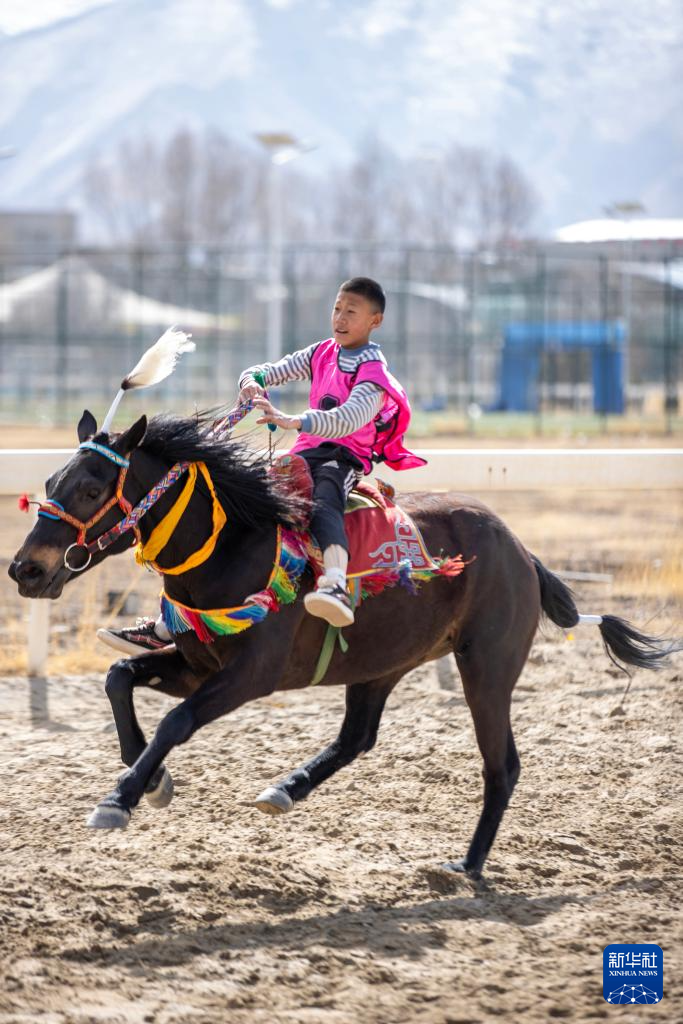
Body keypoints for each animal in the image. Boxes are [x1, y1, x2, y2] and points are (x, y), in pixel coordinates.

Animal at [9, 411, 671, 876]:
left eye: (91, 490)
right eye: (50, 480)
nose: (26, 569)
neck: (234, 545)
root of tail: (523, 553)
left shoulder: (251, 676)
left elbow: (176, 721)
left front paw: (121, 797)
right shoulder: (197, 662)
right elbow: (118, 678)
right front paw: (150, 778)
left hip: (487, 667)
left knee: (501, 764)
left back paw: (467, 864)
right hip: (382, 665)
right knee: (358, 737)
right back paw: (285, 788)